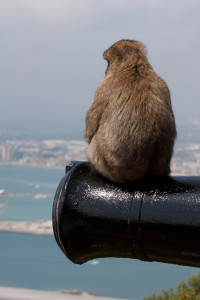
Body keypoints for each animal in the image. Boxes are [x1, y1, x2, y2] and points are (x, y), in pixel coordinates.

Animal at [84, 39, 177, 183]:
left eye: (108, 63)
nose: (105, 71)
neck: (135, 66)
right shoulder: (163, 83)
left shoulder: (104, 87)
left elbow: (91, 129)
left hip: (108, 165)